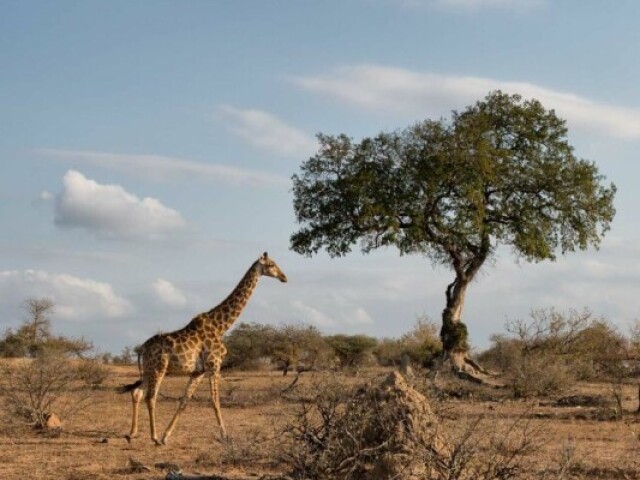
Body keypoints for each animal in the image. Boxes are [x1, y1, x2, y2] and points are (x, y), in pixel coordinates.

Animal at [119, 253, 288, 444]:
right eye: (271, 264)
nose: (284, 277)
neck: (221, 326)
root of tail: (142, 348)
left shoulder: (198, 371)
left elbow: (184, 401)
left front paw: (166, 436)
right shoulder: (214, 365)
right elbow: (215, 400)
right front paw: (225, 435)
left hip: (148, 370)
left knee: (137, 392)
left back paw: (132, 433)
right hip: (158, 368)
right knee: (150, 397)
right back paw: (153, 437)